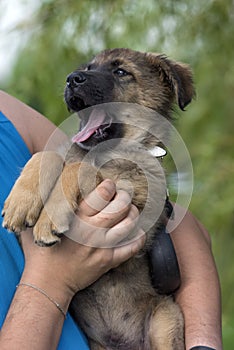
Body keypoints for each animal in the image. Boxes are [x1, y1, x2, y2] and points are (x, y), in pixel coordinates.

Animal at [2, 47, 195, 348]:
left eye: (121, 71)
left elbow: (79, 167)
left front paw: (48, 221)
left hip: (165, 318)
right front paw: (19, 203)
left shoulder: (137, 201)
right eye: (88, 68)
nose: (71, 78)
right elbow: (49, 154)